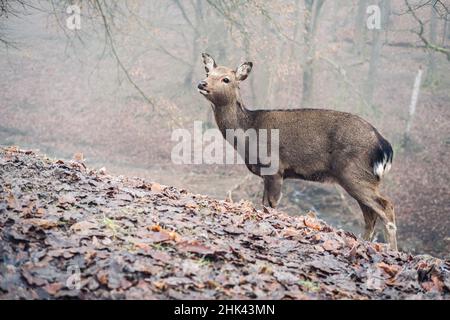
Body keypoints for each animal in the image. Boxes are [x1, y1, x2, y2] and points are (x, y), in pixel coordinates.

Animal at [197, 53, 398, 251]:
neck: (248, 133)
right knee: (370, 215)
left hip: (354, 173)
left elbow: (271, 205)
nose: (202, 83)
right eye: (208, 73)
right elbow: (264, 204)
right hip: (363, 178)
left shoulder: (275, 167)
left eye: (226, 79)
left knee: (386, 207)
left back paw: (393, 250)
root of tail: (384, 146)